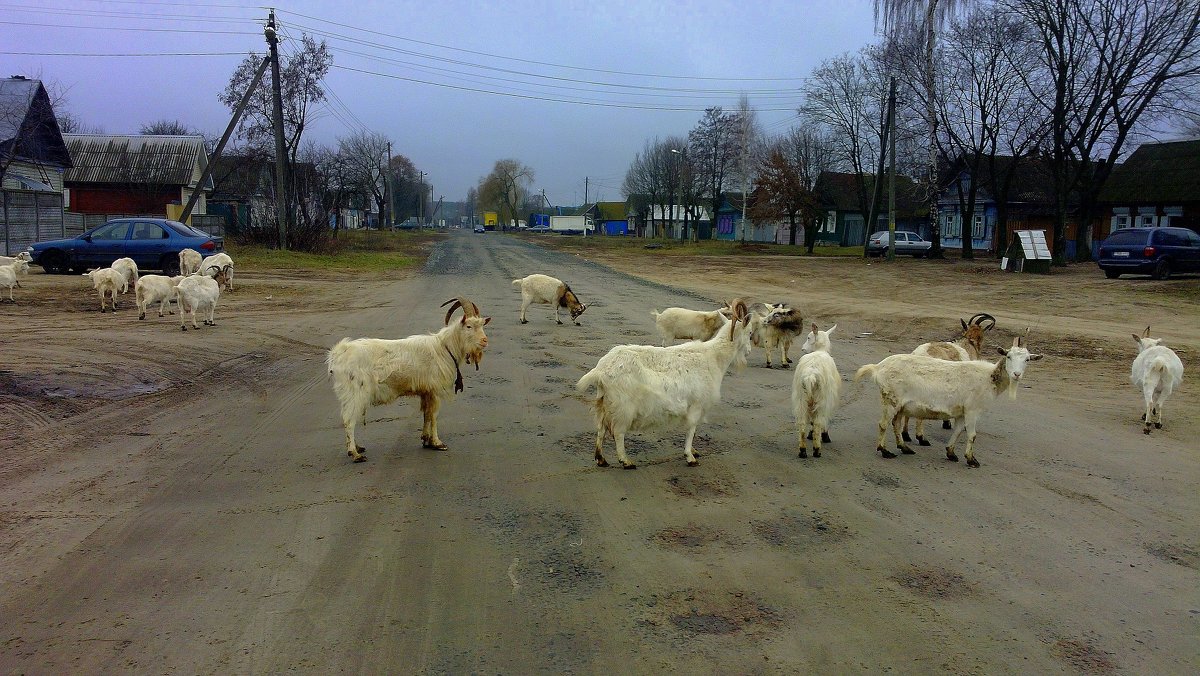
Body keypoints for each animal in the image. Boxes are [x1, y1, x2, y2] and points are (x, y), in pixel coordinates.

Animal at [326, 298, 489, 463]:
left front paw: (426, 440)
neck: (444, 348)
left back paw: (358, 447)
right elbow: (434, 415)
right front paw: (437, 443)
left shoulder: (426, 392)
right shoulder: (435, 390)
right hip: (355, 392)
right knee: (349, 420)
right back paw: (355, 454)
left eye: (482, 325)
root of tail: (337, 354)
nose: (485, 340)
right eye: (469, 326)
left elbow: (426, 414)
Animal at [576, 298, 753, 468]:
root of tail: (601, 370)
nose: (749, 351)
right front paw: (690, 457)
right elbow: (691, 429)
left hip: (604, 402)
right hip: (623, 407)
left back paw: (601, 459)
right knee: (618, 432)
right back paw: (626, 461)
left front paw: (694, 451)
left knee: (601, 429)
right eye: (750, 333)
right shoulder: (697, 404)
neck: (714, 356)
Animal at [792, 324, 840, 461]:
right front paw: (825, 436)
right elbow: (823, 420)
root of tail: (810, 375)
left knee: (802, 422)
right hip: (822, 398)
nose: (803, 348)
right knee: (818, 422)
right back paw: (817, 450)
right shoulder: (829, 401)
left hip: (801, 398)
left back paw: (802, 450)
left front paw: (810, 435)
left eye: (808, 337)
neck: (820, 350)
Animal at [854, 333, 1041, 470]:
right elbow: (972, 435)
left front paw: (951, 453)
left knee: (896, 424)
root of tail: (878, 367)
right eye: (1008, 356)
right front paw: (971, 459)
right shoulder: (972, 410)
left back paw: (905, 448)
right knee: (883, 424)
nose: (1016, 374)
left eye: (1027, 360)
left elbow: (958, 431)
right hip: (890, 399)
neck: (989, 377)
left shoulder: (961, 412)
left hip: (900, 405)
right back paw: (884, 451)